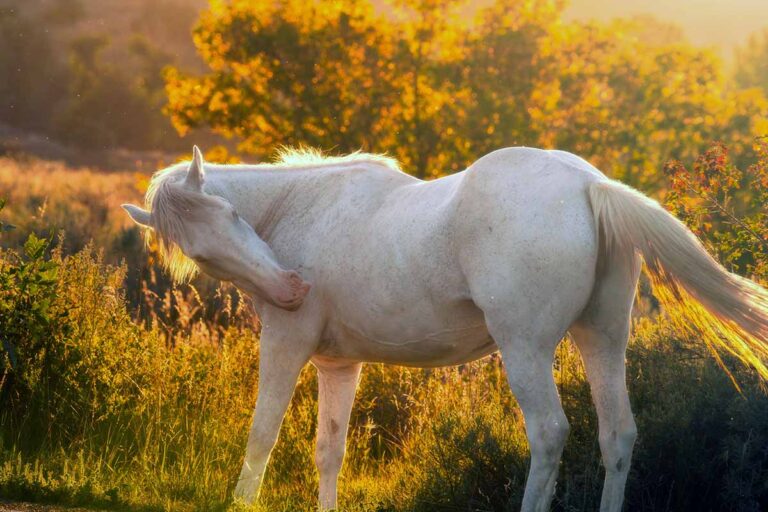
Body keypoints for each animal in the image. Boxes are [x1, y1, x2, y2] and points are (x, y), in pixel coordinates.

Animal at [122, 146, 768, 512]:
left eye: (232, 214)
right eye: (200, 255)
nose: (290, 290)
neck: (304, 206)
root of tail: (588, 184)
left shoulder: (285, 347)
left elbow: (262, 437)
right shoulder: (339, 365)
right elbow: (329, 450)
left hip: (525, 350)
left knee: (549, 434)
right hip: (602, 341)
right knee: (618, 435)